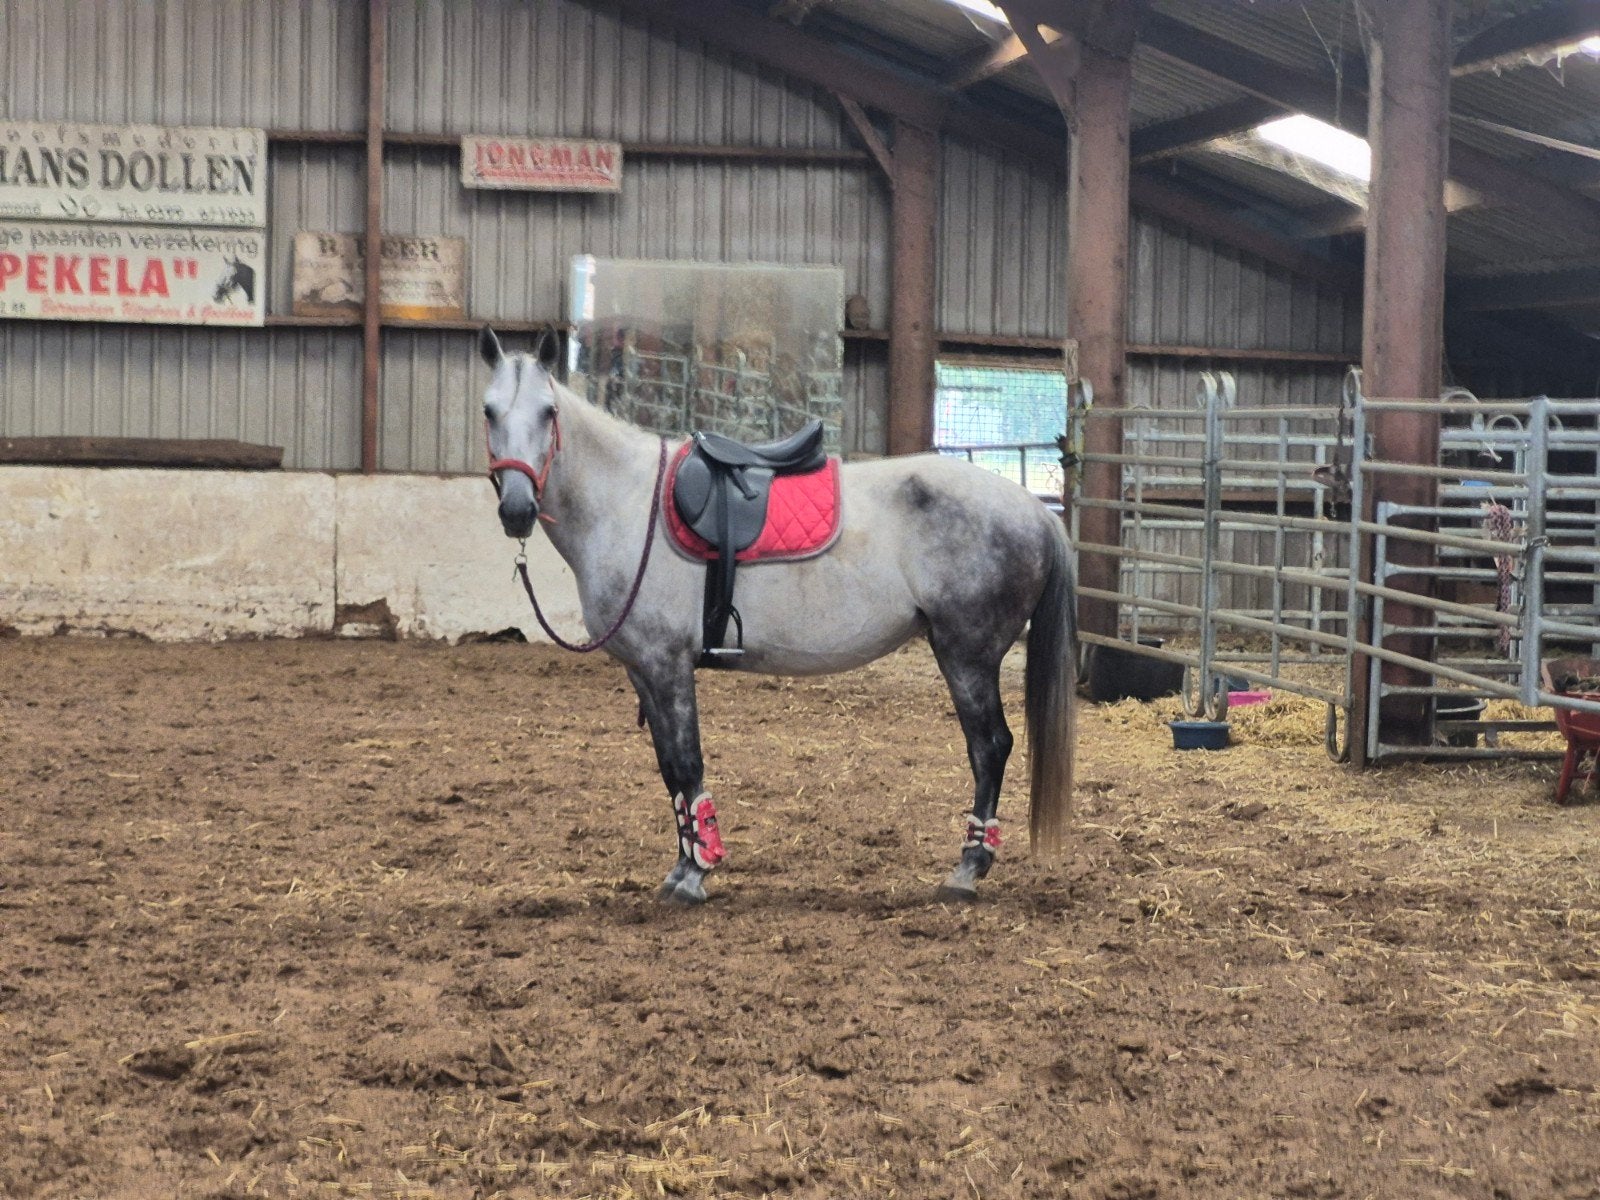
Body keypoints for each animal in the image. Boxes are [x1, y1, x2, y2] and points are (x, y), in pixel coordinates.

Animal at [479, 326, 1077, 904]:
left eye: (548, 412)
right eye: (489, 410)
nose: (517, 510)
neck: (627, 503)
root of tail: (1036, 512)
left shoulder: (667, 664)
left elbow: (688, 762)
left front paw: (697, 874)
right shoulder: (643, 669)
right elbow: (670, 769)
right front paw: (681, 868)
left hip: (967, 656)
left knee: (990, 747)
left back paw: (967, 869)